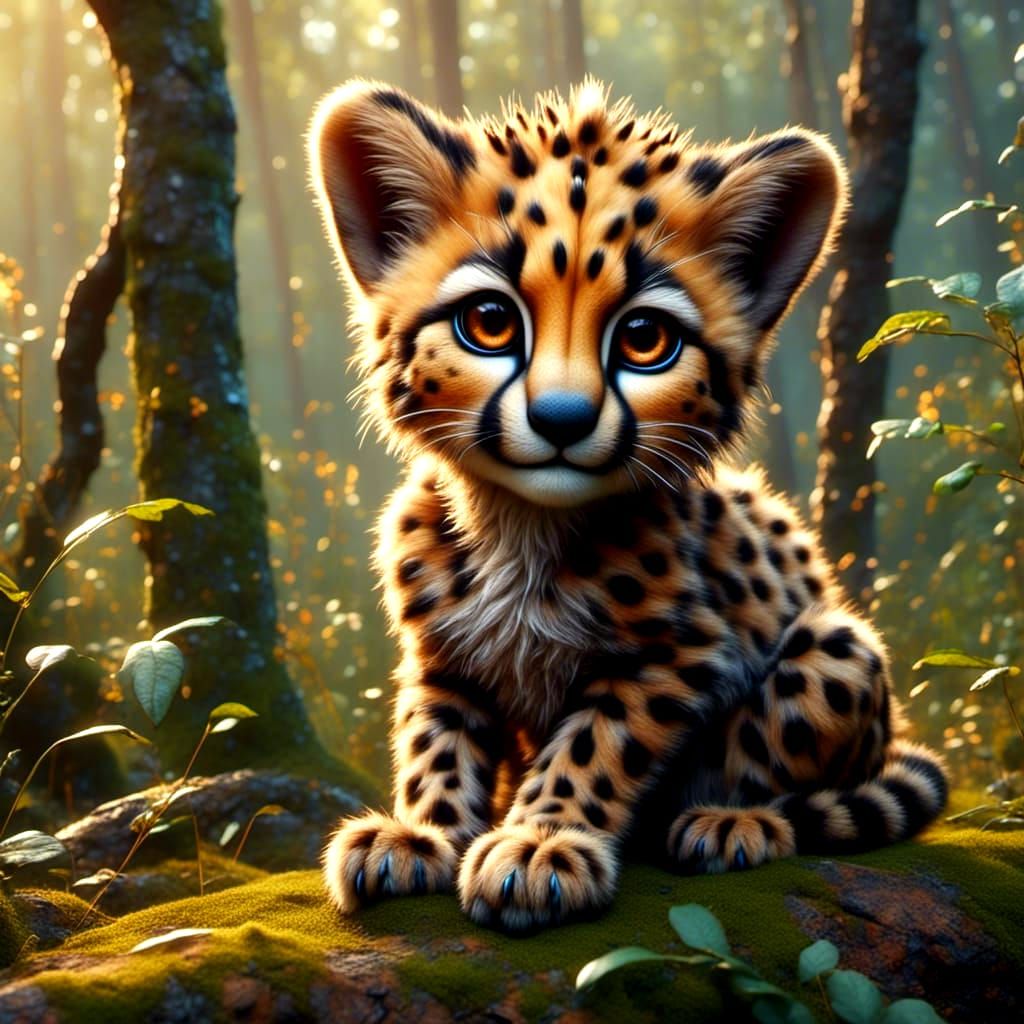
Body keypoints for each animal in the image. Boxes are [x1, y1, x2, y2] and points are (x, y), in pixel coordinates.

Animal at [307, 78, 948, 933]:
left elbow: (595, 744)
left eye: (645, 338)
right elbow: (434, 742)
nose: (563, 420)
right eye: (490, 323)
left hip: (838, 650)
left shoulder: (676, 653)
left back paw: (735, 821)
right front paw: (423, 833)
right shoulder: (442, 657)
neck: (522, 532)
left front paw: (539, 844)